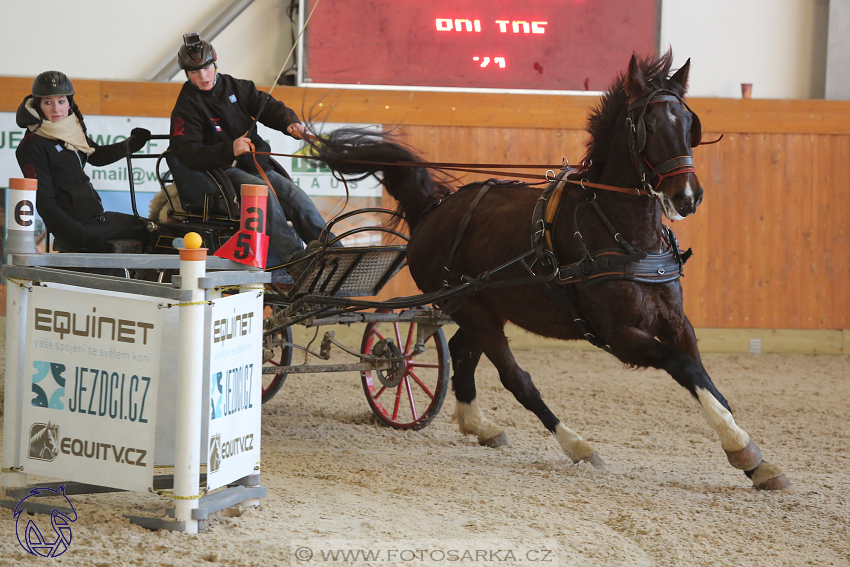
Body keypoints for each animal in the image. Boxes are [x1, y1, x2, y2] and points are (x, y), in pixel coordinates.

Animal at [310, 51, 788, 490]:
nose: (687, 196)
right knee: (516, 379)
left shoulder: (675, 321)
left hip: (482, 307)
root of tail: (433, 208)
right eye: (648, 126)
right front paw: (744, 450)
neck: (622, 234)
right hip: (474, 310)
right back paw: (576, 445)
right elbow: (683, 367)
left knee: (463, 352)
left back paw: (479, 425)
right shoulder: (620, 336)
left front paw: (750, 455)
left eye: (689, 123)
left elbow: (706, 380)